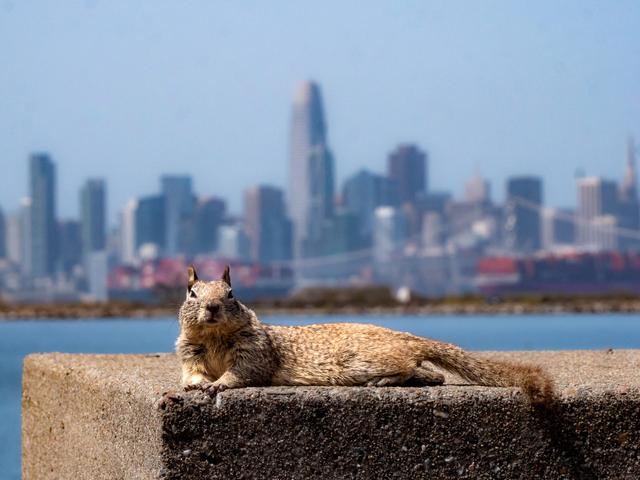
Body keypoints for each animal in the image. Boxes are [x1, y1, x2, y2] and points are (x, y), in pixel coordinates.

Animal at [175, 264, 556, 406]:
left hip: (361, 362)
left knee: (412, 368)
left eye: (231, 294)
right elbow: (191, 372)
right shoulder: (190, 351)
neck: (213, 338)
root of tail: (405, 335)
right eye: (192, 293)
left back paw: (386, 381)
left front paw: (218, 384)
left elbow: (242, 372)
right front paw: (196, 384)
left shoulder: (253, 350)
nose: (212, 307)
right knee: (432, 373)